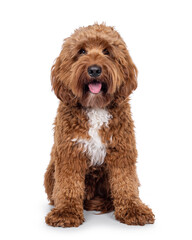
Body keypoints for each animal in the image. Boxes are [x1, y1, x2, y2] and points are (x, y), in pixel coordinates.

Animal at [43, 23, 154, 228]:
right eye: (81, 51)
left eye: (107, 51)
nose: (94, 70)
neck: (95, 106)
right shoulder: (70, 153)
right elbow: (68, 185)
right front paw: (66, 212)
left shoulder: (122, 150)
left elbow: (126, 183)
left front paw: (133, 209)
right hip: (50, 172)